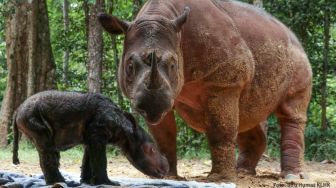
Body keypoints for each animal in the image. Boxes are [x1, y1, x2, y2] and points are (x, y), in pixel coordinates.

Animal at [11, 90, 169, 185]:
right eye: (151, 150)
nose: (166, 169)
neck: (125, 130)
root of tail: (17, 110)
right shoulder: (98, 134)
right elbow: (101, 160)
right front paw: (108, 183)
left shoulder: (91, 137)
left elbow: (88, 159)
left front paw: (86, 182)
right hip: (31, 115)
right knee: (47, 147)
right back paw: (59, 183)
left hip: (29, 116)